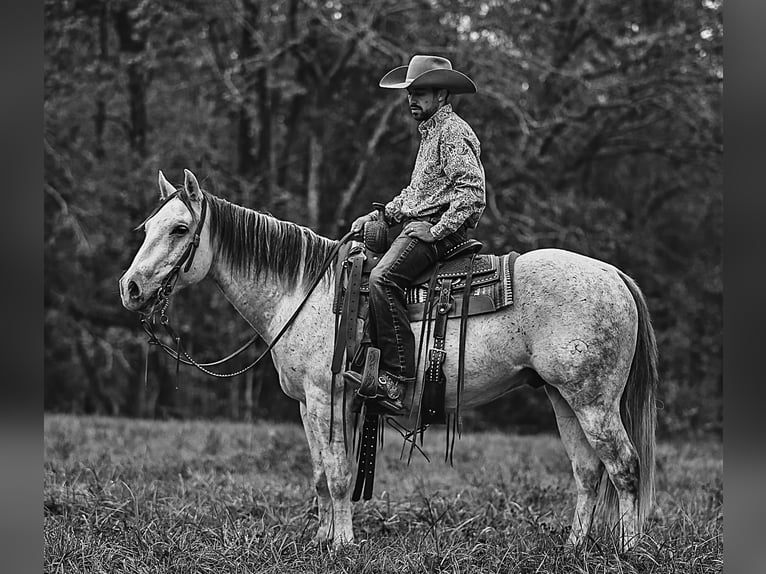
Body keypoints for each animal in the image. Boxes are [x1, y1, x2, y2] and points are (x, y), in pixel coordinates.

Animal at [120, 169, 660, 552]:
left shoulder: (330, 396)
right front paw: (322, 539)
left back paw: (628, 551)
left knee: (625, 467)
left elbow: (339, 474)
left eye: (181, 228)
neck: (308, 292)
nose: (131, 289)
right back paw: (574, 547)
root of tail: (613, 274)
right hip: (561, 396)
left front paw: (343, 545)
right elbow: (320, 475)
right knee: (588, 471)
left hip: (593, 401)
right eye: (146, 227)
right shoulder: (308, 405)